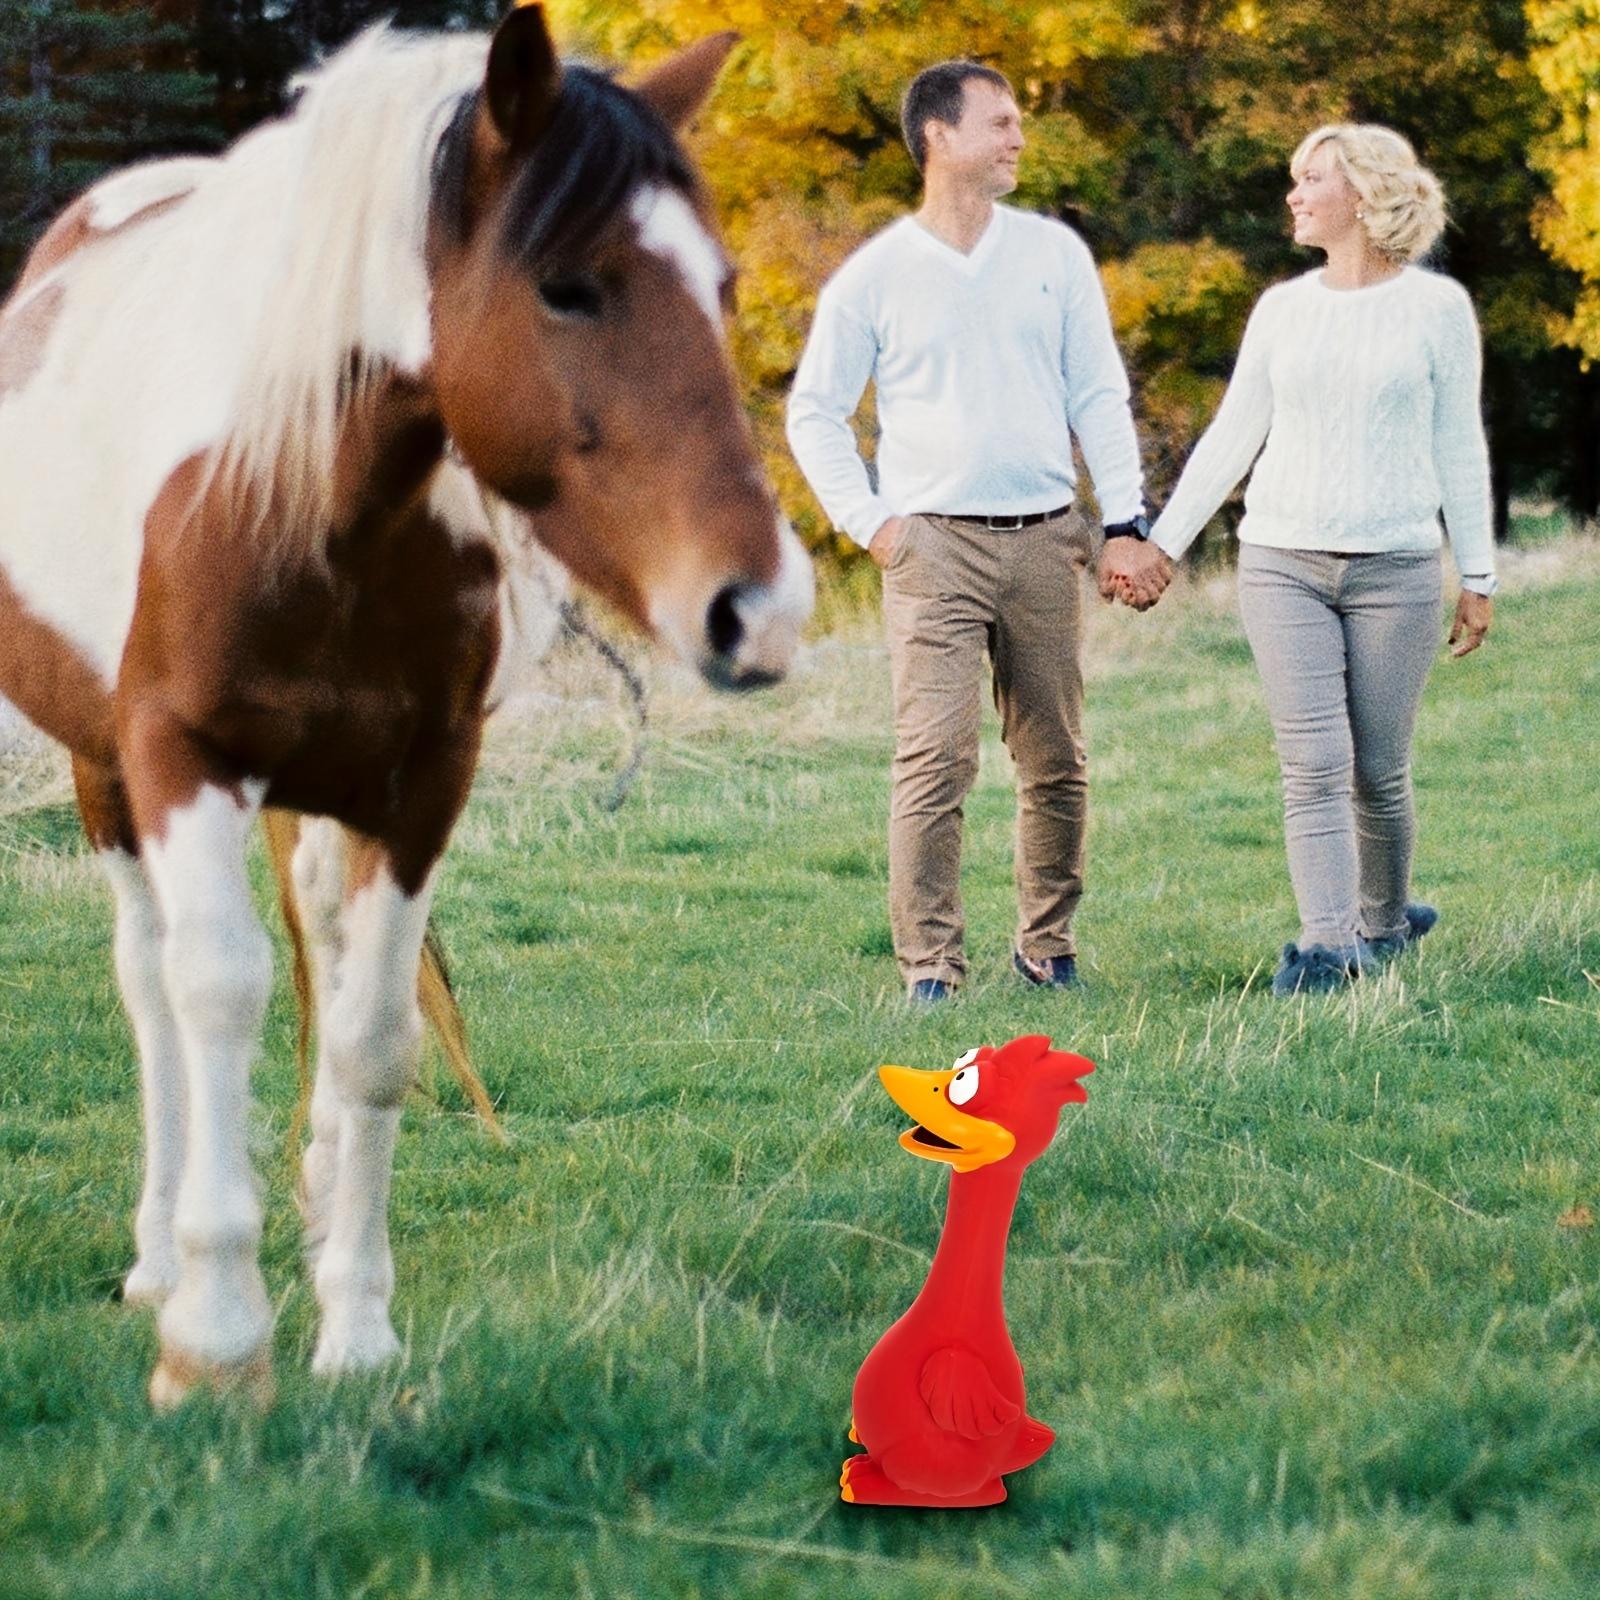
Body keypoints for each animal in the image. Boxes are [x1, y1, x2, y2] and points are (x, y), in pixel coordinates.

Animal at [0, 5, 813, 1407]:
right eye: (567, 283)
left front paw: (357, 1328)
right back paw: (158, 1257)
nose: (755, 609)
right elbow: (214, 991)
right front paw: (217, 1341)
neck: (299, 497)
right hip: (103, 775)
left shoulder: (421, 785)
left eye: (719, 286)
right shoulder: (178, 759)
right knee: (151, 986)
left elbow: (375, 1036)